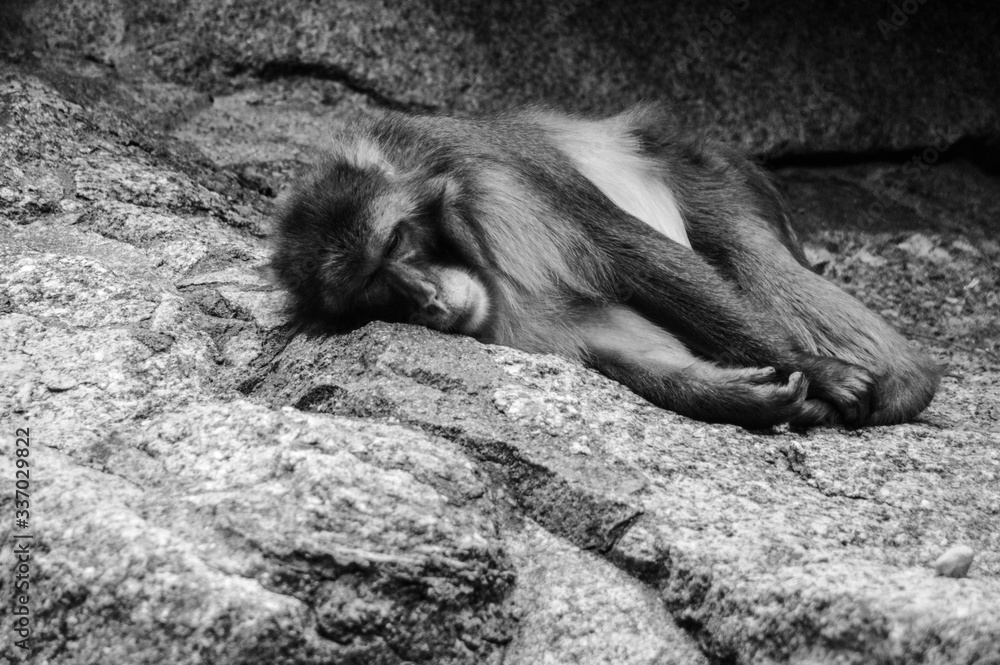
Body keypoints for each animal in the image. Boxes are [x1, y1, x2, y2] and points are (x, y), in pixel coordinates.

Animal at [270, 104, 940, 429]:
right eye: (372, 288)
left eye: (396, 245)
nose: (426, 297)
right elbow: (618, 345)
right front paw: (745, 399)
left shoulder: (496, 180)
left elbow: (630, 256)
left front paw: (819, 373)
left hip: (710, 178)